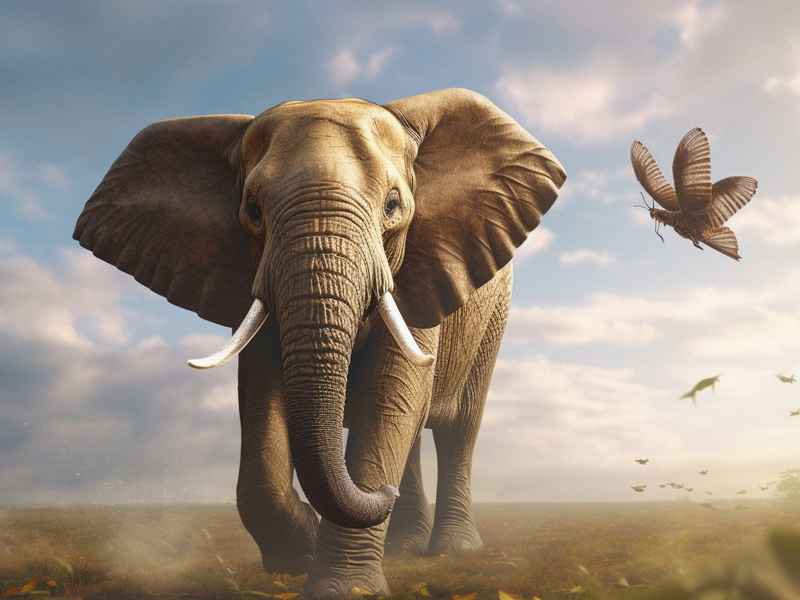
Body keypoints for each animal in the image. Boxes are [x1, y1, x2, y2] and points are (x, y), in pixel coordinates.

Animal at [72, 88, 566, 598]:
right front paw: (299, 555)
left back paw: (452, 550)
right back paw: (403, 546)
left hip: (493, 319)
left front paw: (346, 589)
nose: (379, 494)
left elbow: (389, 397)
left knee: (457, 430)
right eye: (253, 212)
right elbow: (260, 402)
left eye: (393, 206)